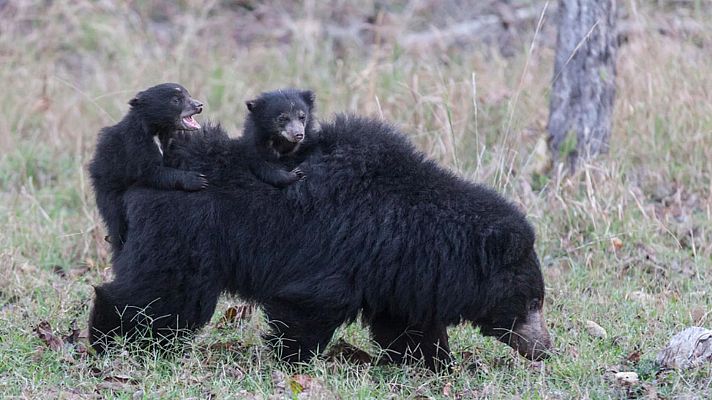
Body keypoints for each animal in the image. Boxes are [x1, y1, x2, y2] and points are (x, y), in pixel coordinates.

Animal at [89, 114, 552, 370]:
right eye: (532, 302)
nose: (545, 350)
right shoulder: (342, 252)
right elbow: (308, 306)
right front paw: (292, 361)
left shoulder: (398, 272)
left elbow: (407, 324)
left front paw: (435, 363)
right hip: (185, 235)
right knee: (160, 296)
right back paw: (111, 340)